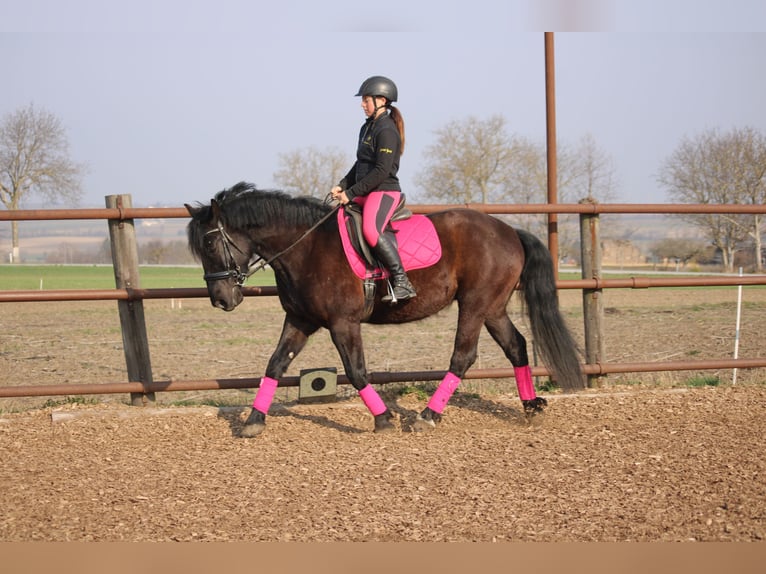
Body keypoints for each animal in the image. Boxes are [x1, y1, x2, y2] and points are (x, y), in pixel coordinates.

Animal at [186, 182, 584, 437]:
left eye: (210, 244)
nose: (221, 299)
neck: (306, 246)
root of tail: (510, 231)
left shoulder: (343, 323)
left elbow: (356, 370)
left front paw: (384, 419)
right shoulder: (300, 320)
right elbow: (274, 364)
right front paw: (253, 421)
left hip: (474, 306)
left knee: (463, 357)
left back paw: (427, 416)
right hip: (492, 308)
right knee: (516, 346)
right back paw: (531, 408)